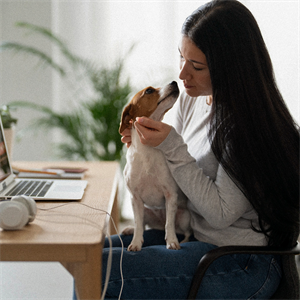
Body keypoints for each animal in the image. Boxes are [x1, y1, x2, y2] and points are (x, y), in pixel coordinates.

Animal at [118, 81, 191, 251]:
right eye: (149, 91)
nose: (174, 82)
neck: (147, 151)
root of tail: (158, 223)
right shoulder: (135, 198)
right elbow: (139, 225)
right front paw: (136, 243)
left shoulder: (170, 195)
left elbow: (169, 224)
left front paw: (172, 241)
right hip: (145, 210)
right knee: (142, 225)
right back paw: (130, 229)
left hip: (184, 217)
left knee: (186, 233)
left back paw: (183, 241)